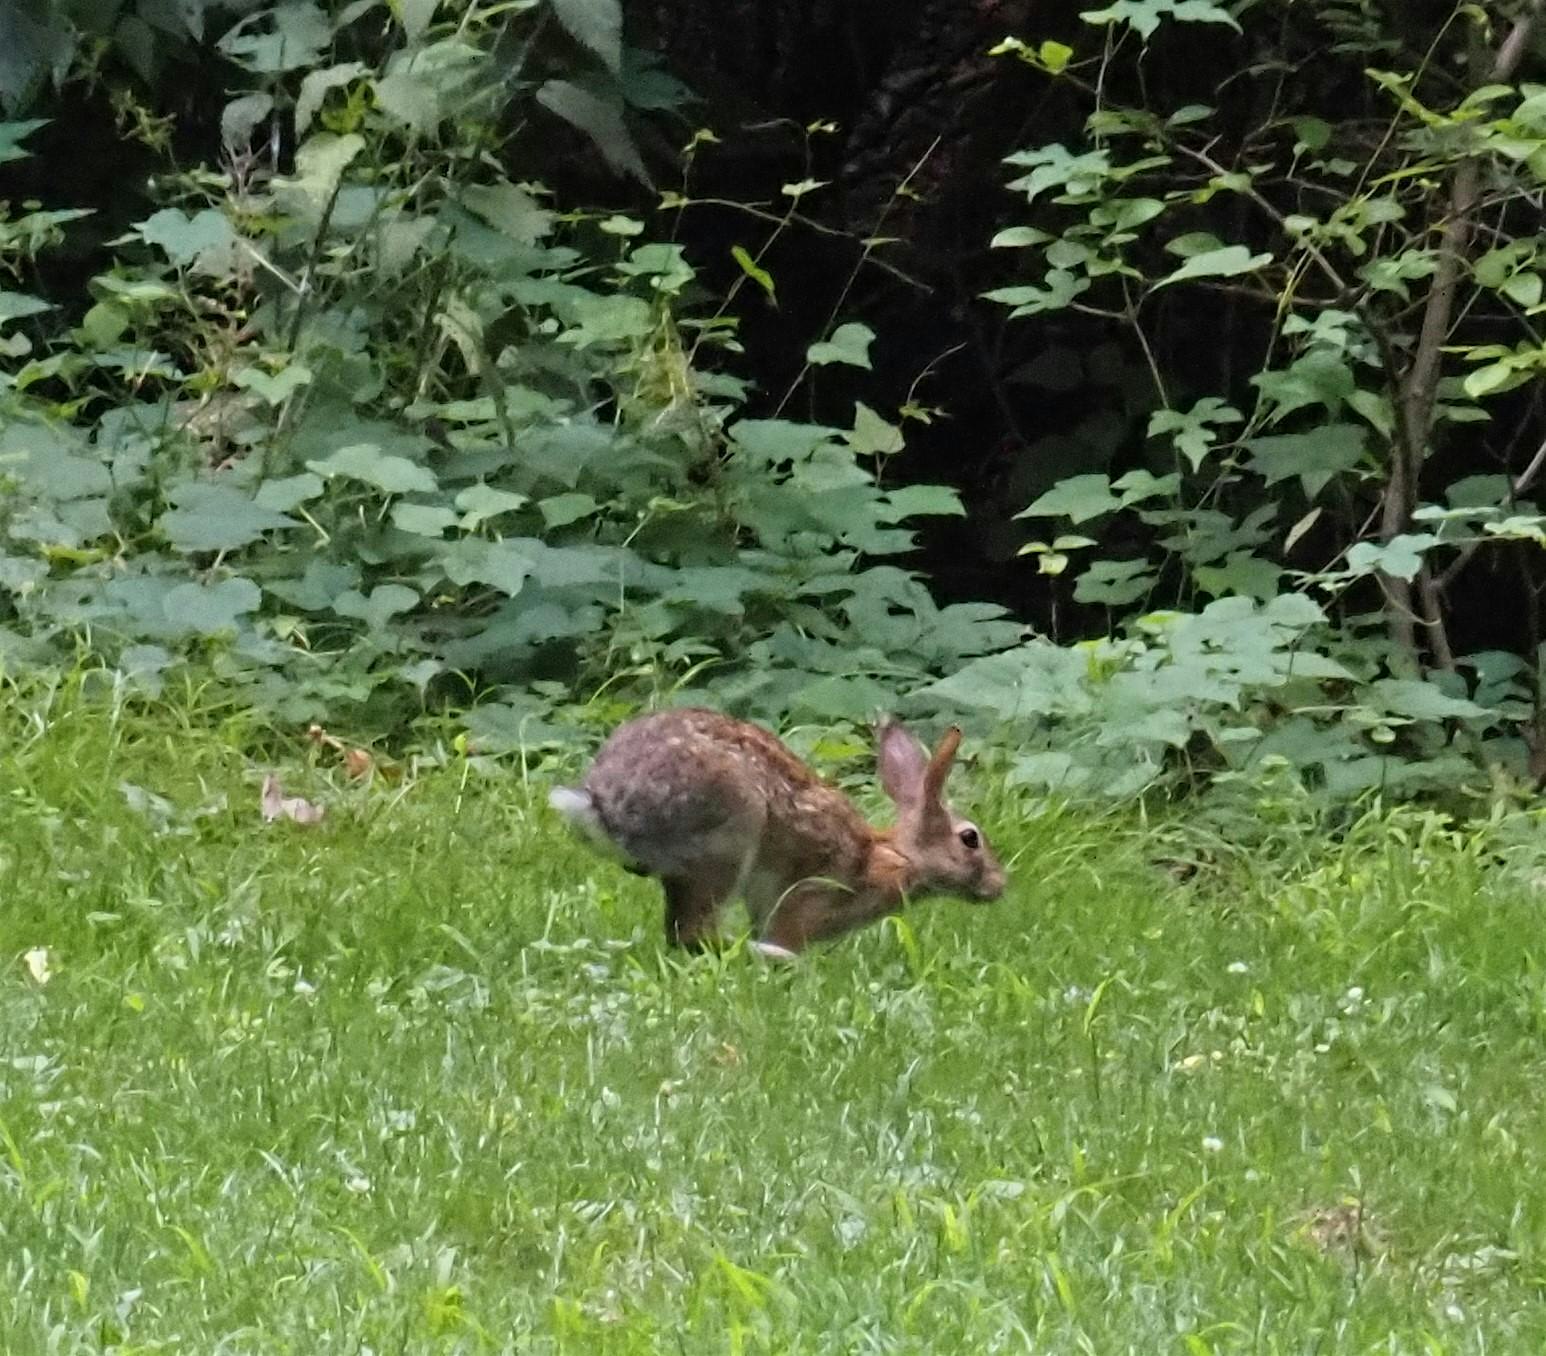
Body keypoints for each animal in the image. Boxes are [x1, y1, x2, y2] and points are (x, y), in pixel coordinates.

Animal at [549, 707, 1005, 957]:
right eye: (970, 838)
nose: (1000, 886)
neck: (897, 857)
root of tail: (607, 804)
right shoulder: (804, 903)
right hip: (729, 841)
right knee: (694, 931)